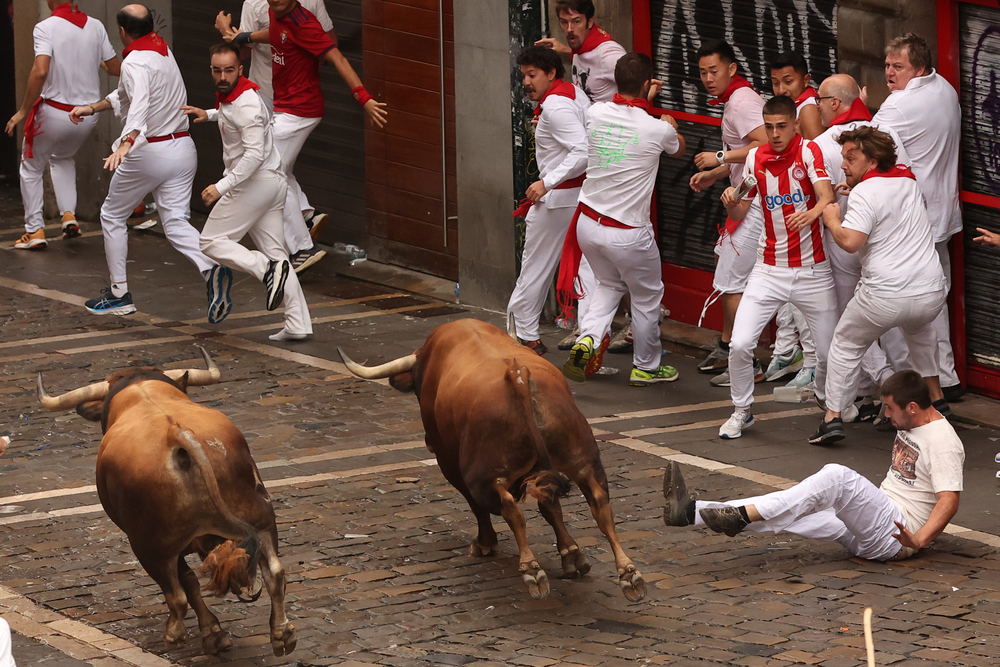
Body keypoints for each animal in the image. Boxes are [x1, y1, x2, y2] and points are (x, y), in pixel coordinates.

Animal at [39, 350, 296, 656]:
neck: (142, 392)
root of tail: (177, 434)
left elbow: (188, 584)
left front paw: (213, 633)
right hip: (261, 518)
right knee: (275, 572)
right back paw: (282, 633)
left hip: (150, 545)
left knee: (177, 593)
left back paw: (175, 633)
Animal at [340, 318, 644, 600]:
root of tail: (517, 374)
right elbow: (551, 508)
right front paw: (571, 555)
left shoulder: (448, 460)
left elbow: (478, 506)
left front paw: (486, 543)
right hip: (583, 458)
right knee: (599, 504)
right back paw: (628, 574)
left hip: (480, 473)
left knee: (508, 508)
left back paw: (532, 571)